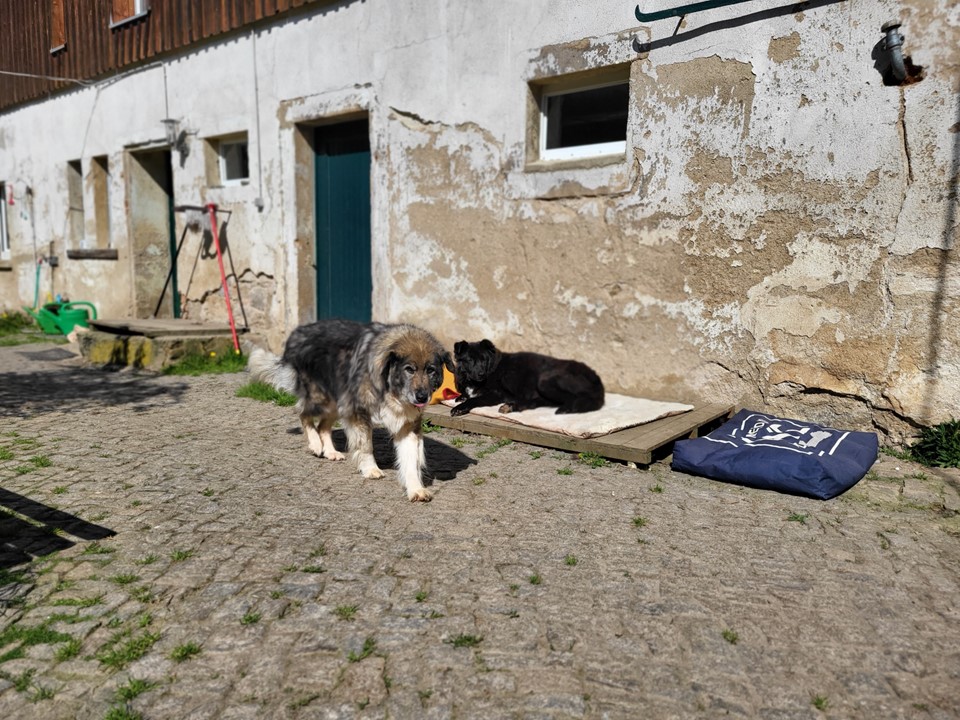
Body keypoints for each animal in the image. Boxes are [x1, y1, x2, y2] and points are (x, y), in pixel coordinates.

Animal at [452, 338, 604, 416]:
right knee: (542, 401)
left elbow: (474, 399)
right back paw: (513, 406)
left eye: (484, 359)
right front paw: (461, 397)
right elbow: (466, 395)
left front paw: (460, 407)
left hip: (545, 380)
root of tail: (595, 376)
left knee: (575, 399)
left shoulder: (496, 394)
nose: (481, 374)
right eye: (470, 360)